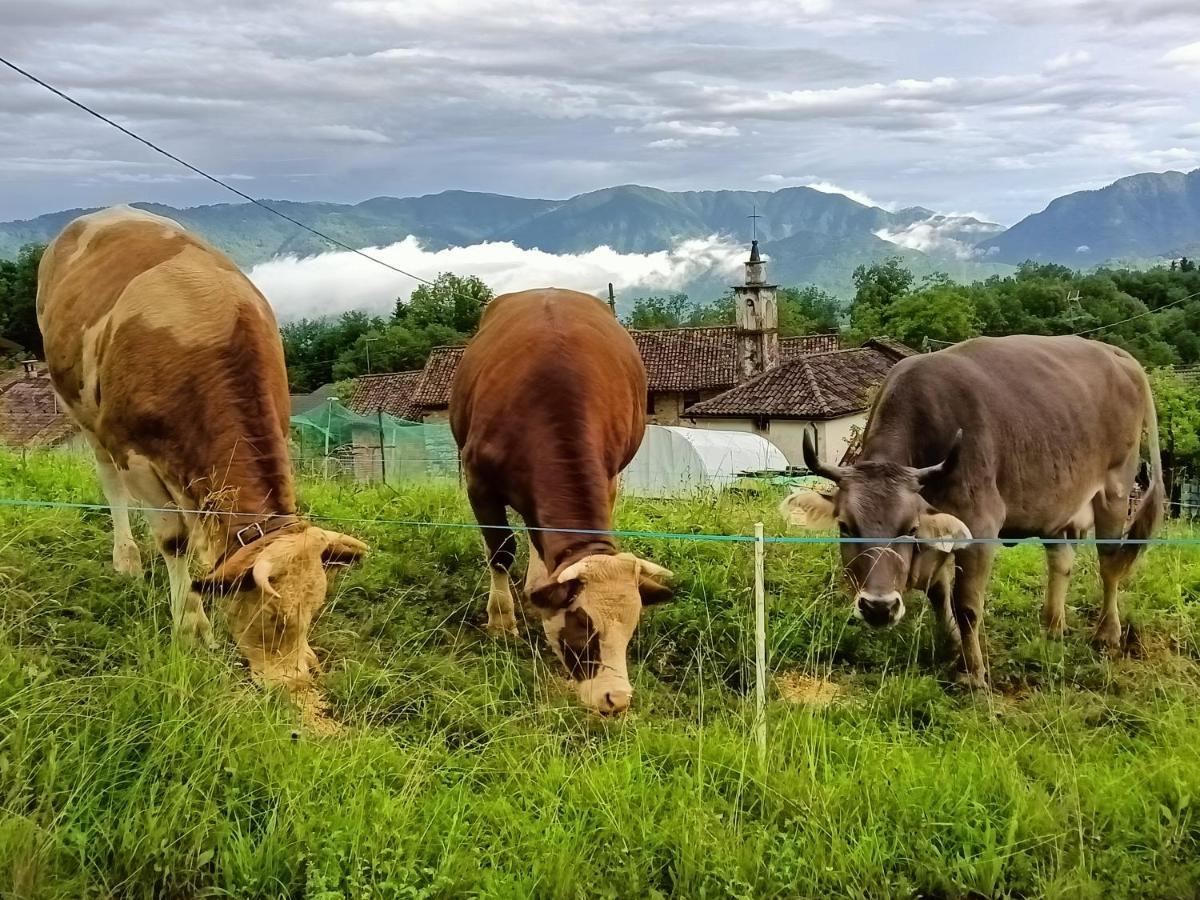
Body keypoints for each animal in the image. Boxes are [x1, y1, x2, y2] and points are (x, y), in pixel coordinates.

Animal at [38, 210, 364, 691]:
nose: (293, 685)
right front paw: (191, 626)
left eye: (313, 609)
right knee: (111, 485)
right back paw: (127, 558)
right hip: (81, 412)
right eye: (273, 617)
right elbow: (173, 541)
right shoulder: (137, 457)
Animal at [451, 289, 676, 720]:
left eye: (630, 633)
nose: (616, 700)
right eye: (582, 628)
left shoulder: (609, 478)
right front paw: (501, 621)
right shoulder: (477, 481)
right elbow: (501, 551)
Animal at [777, 338, 1161, 691]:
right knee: (1062, 562)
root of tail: (1114, 353)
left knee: (1109, 564)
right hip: (1060, 501)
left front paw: (972, 672)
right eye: (845, 526)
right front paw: (950, 646)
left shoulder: (979, 525)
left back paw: (1107, 634)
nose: (879, 607)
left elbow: (966, 604)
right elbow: (937, 591)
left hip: (1115, 489)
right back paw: (1053, 626)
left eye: (910, 527)